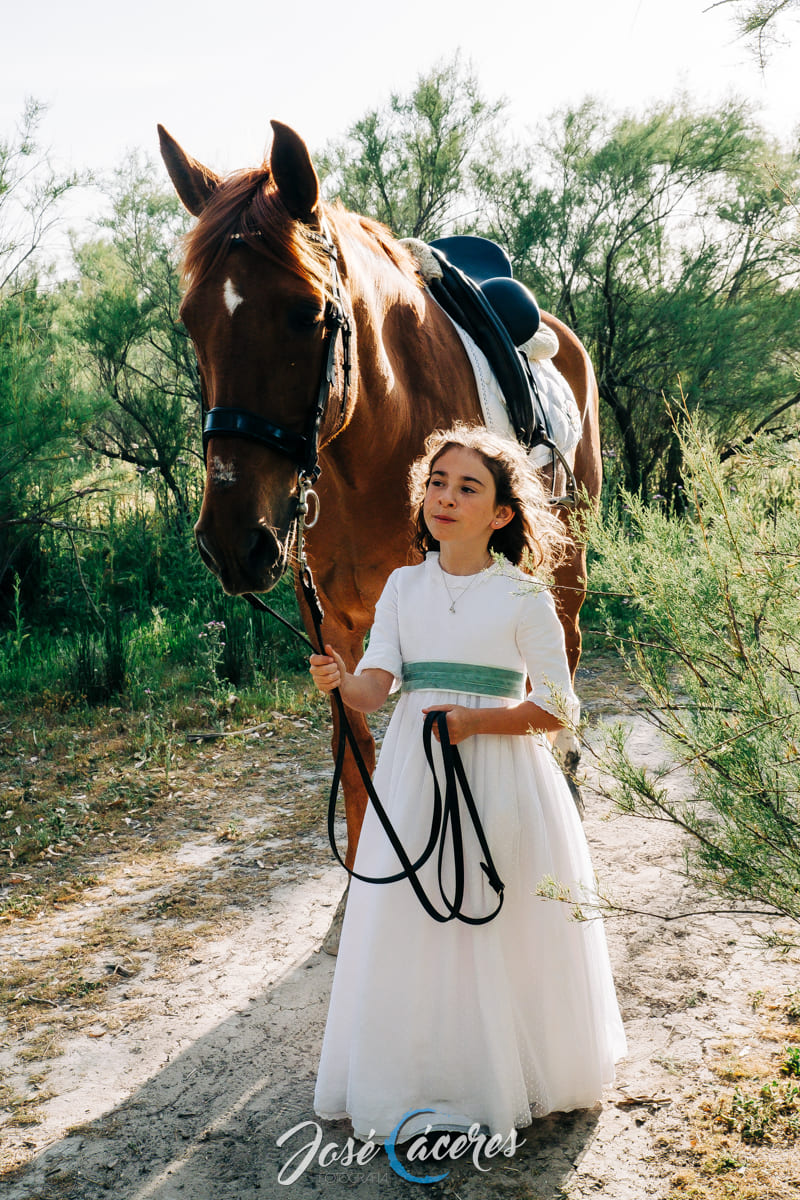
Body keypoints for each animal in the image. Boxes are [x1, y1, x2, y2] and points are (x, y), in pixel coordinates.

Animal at [159, 119, 599, 892]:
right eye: (191, 321)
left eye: (307, 315)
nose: (233, 543)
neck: (373, 449)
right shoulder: (328, 621)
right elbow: (355, 747)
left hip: (570, 545)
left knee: (564, 653)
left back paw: (566, 771)